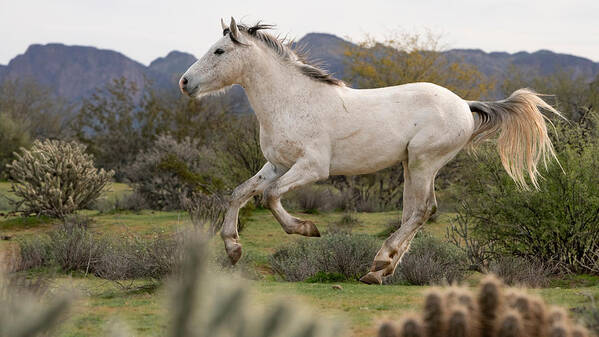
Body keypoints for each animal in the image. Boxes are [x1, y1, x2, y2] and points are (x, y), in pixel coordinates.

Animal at [179, 18, 564, 284]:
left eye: (219, 51)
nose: (185, 82)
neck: (292, 101)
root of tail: (465, 106)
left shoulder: (312, 166)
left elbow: (270, 196)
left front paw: (307, 229)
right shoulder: (277, 163)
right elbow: (239, 193)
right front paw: (233, 249)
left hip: (424, 162)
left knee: (422, 210)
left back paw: (380, 264)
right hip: (411, 165)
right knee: (413, 212)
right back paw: (380, 270)